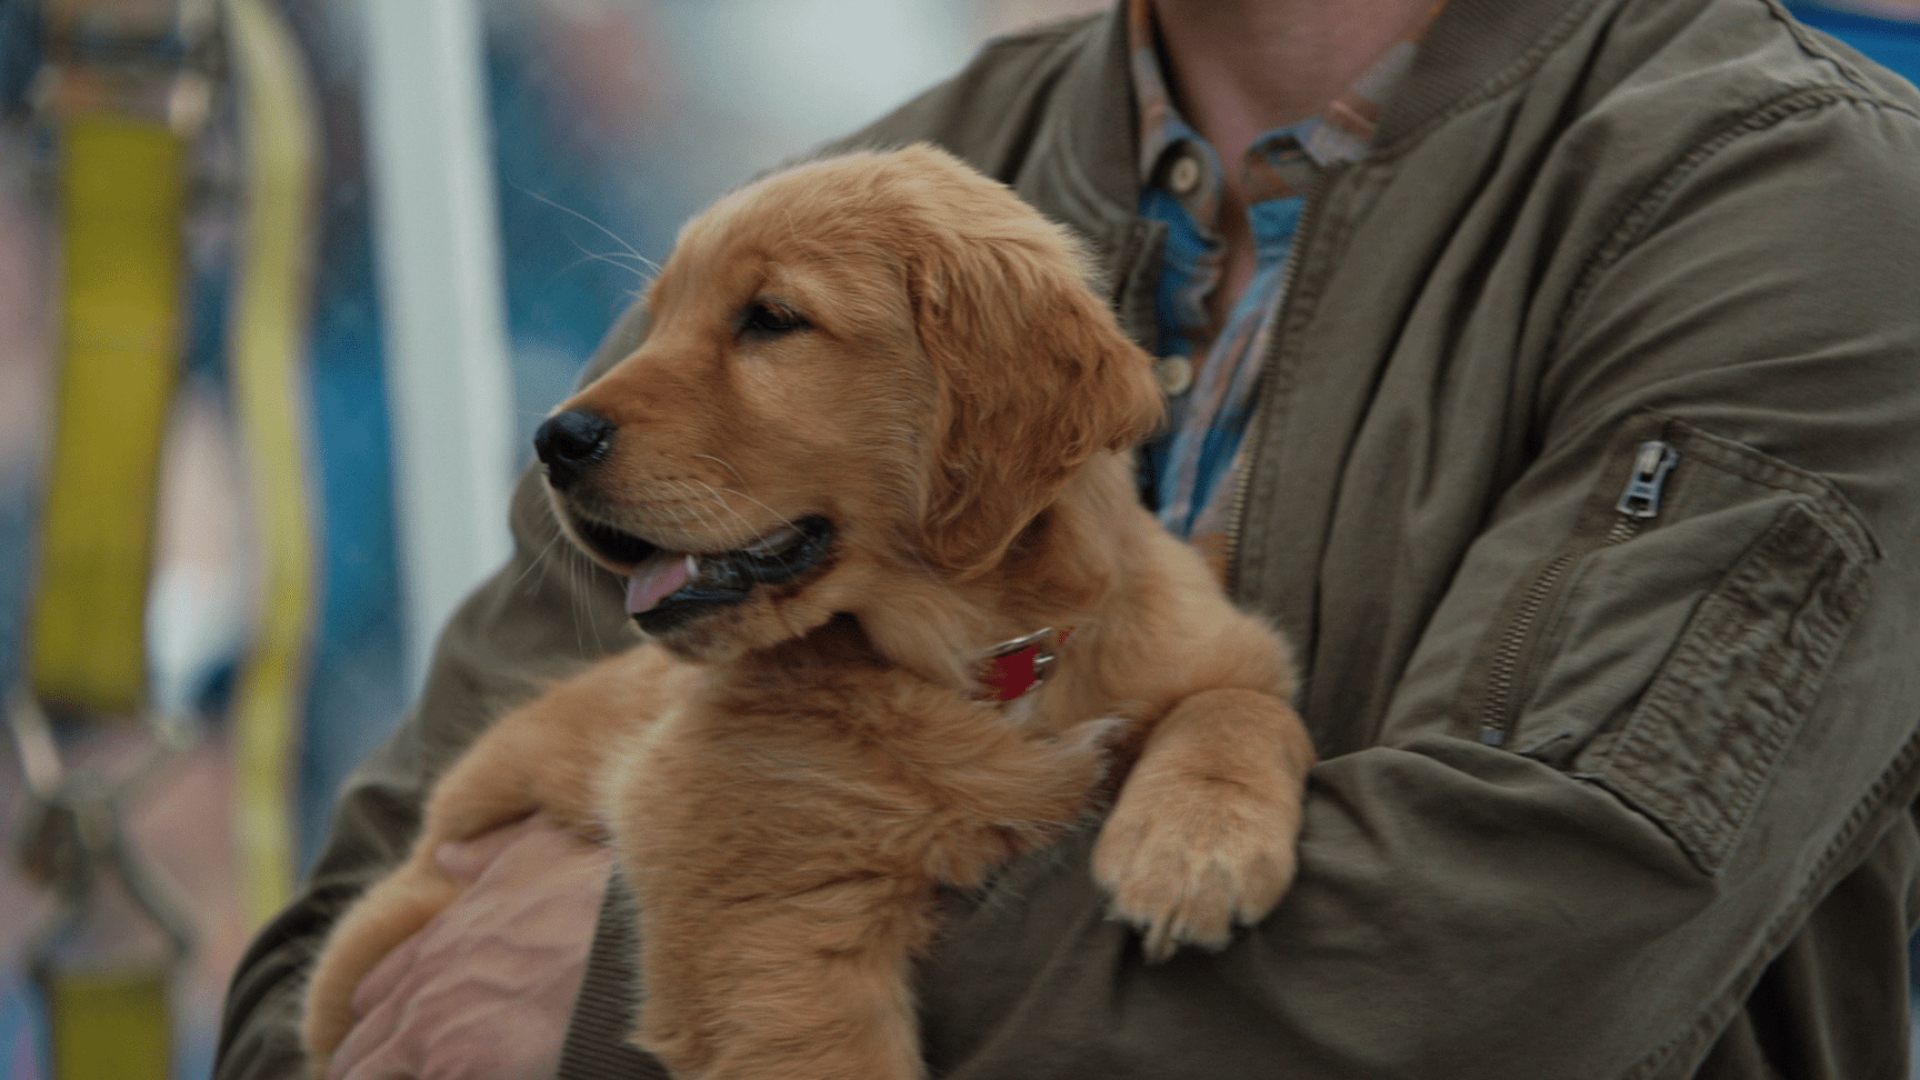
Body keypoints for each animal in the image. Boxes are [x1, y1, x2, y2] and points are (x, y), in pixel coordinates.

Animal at [303, 145, 1320, 1076]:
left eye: (772, 320)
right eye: (658, 320)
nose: (552, 440)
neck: (989, 658)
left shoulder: (1202, 644)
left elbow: (1239, 706)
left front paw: (1196, 848)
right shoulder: (763, 922)